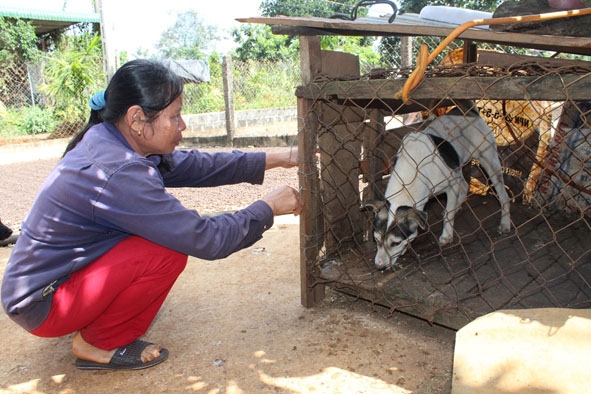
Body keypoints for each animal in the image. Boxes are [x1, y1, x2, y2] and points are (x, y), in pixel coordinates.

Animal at [364, 104, 512, 270]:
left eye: (396, 243)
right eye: (376, 239)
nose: (379, 266)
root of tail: (469, 110)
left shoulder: (451, 184)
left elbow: (449, 213)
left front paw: (446, 235)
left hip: (489, 161)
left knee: (502, 194)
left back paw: (505, 223)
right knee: (464, 184)